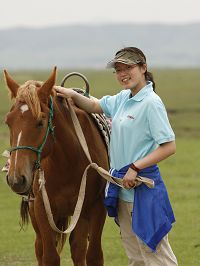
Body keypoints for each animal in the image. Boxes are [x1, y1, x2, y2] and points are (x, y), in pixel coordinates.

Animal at [3, 68, 108, 266]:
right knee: (41, 249)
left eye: (40, 122)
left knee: (78, 249)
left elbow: (94, 255)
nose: (16, 179)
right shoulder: (42, 210)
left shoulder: (97, 207)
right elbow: (49, 256)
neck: (68, 163)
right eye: (8, 121)